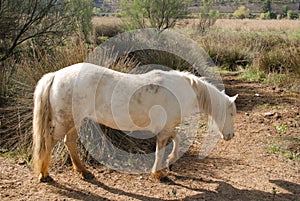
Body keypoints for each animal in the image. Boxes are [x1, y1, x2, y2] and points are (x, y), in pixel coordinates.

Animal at [31, 62, 238, 182]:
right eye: (231, 114)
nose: (230, 136)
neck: (180, 89)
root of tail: (56, 75)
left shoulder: (168, 127)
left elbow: (177, 139)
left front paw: (171, 162)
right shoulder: (164, 130)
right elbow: (160, 150)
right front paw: (158, 173)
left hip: (75, 120)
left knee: (70, 142)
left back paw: (83, 171)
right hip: (65, 121)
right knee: (49, 143)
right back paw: (44, 174)